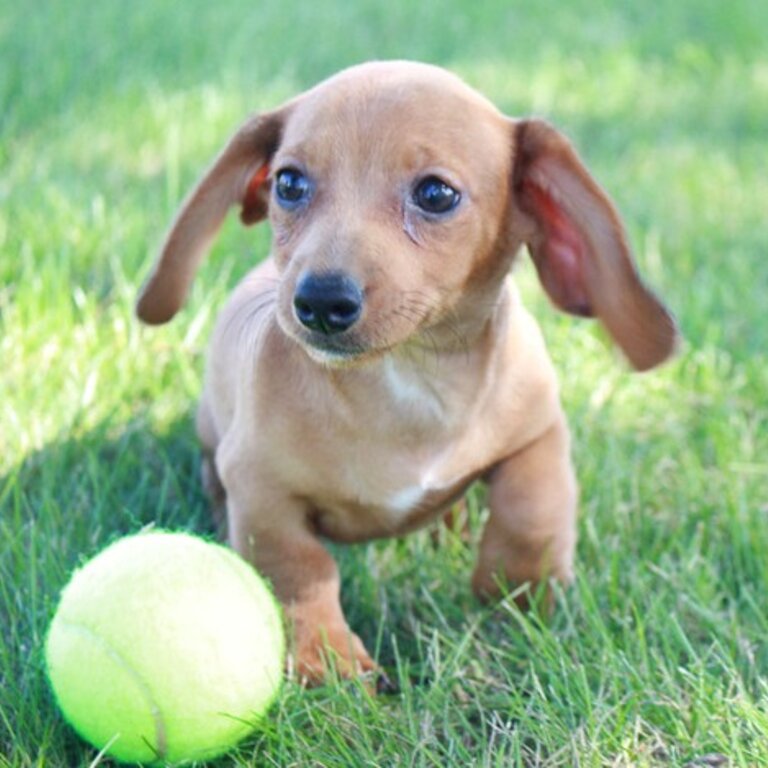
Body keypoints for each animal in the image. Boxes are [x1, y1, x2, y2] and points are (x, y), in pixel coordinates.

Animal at [138, 60, 680, 684]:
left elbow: (530, 511)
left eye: (436, 194)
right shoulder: (261, 490)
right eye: (289, 183)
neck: (409, 385)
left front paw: (520, 601)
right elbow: (300, 569)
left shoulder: (539, 434)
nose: (320, 301)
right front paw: (325, 659)